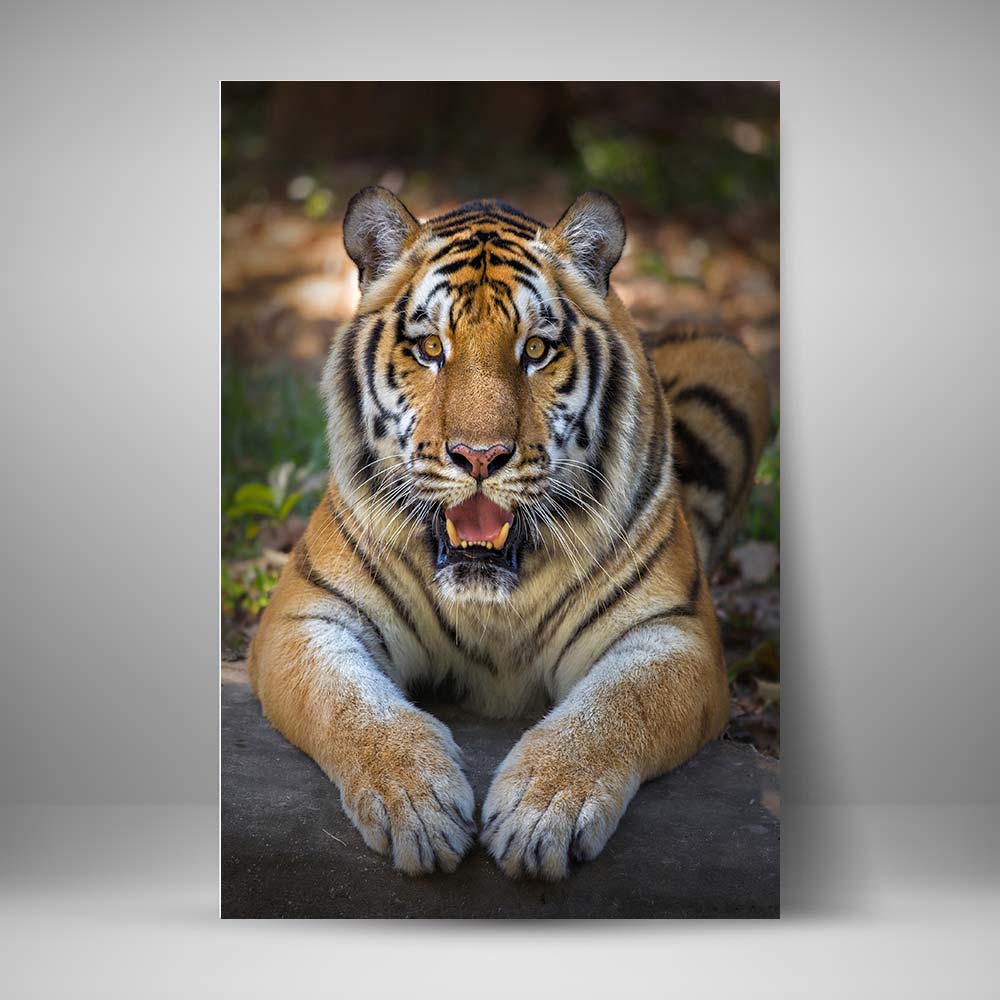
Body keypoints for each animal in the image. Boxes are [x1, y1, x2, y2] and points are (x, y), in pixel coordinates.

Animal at [247, 186, 771, 880]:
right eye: (430, 349)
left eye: (537, 351)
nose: (479, 456)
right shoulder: (305, 617)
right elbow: (350, 704)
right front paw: (417, 802)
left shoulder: (674, 633)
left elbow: (614, 710)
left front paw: (541, 811)